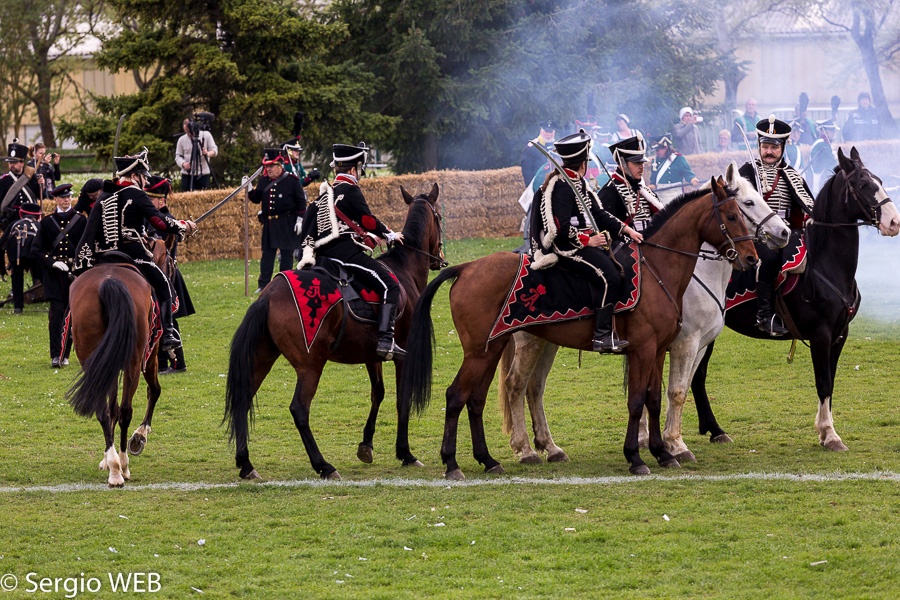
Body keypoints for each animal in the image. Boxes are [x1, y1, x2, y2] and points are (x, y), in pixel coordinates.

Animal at [67, 238, 172, 488]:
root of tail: (109, 281)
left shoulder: (110, 365)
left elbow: (111, 408)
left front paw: (107, 458)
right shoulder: (150, 356)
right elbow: (154, 391)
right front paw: (140, 436)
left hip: (95, 362)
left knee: (104, 411)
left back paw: (113, 467)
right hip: (135, 361)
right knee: (126, 410)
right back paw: (121, 466)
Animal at [223, 182, 444, 478]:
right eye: (439, 217)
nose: (439, 258)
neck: (403, 270)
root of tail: (267, 296)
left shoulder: (373, 355)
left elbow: (378, 393)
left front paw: (366, 446)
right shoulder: (402, 353)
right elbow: (402, 399)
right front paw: (405, 453)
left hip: (262, 357)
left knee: (244, 399)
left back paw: (246, 464)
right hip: (311, 364)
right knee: (299, 409)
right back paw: (323, 465)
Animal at [400, 173, 760, 478]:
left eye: (742, 211)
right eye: (733, 214)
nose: (752, 258)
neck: (658, 271)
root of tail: (466, 268)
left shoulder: (658, 351)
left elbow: (655, 400)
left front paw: (662, 452)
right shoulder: (646, 350)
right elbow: (637, 401)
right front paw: (636, 457)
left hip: (494, 348)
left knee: (479, 398)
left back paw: (491, 460)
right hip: (482, 351)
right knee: (458, 395)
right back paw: (454, 463)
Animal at [496, 163, 792, 464]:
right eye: (745, 204)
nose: (783, 233)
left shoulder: (689, 347)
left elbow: (671, 390)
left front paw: (659, 442)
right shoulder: (681, 345)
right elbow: (674, 392)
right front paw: (674, 444)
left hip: (547, 341)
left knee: (535, 386)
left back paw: (551, 447)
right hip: (528, 341)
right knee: (516, 385)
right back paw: (525, 449)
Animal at [684, 146, 896, 450]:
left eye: (878, 180)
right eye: (863, 185)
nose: (893, 221)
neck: (826, 264)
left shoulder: (839, 335)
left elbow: (830, 381)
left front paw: (824, 431)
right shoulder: (820, 335)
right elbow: (823, 382)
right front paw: (830, 435)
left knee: (696, 375)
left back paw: (714, 430)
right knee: (695, 374)